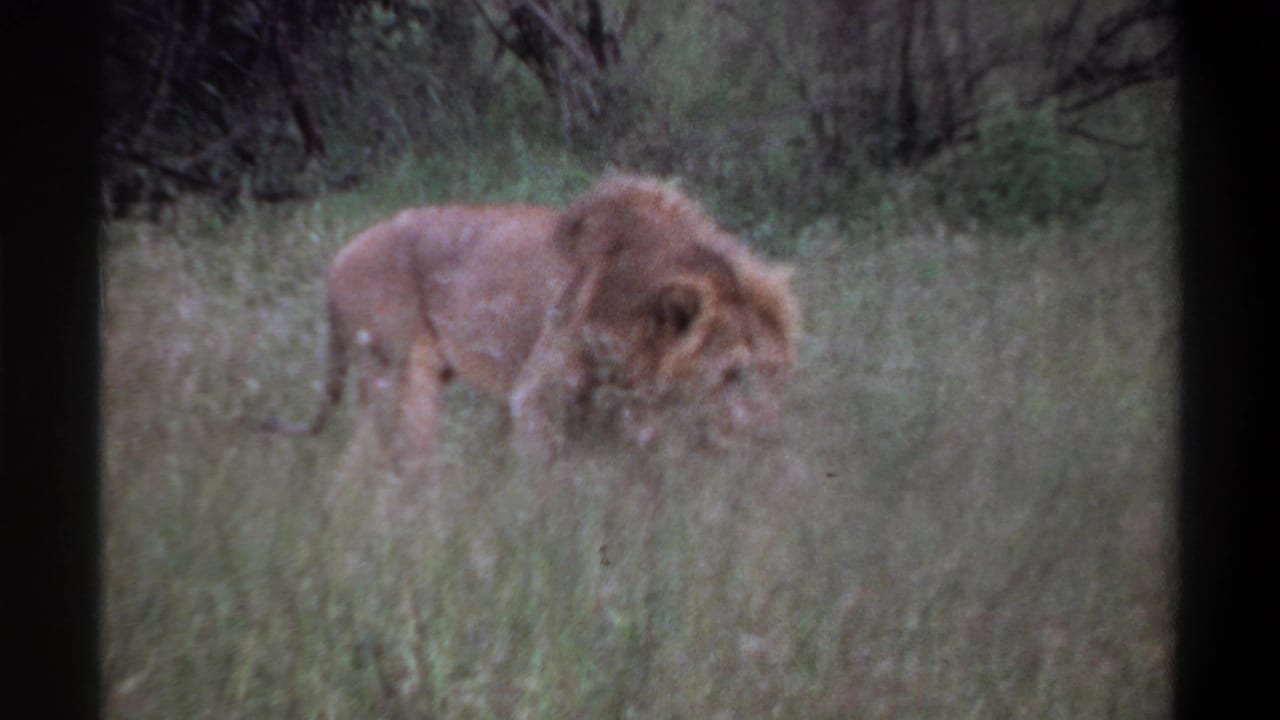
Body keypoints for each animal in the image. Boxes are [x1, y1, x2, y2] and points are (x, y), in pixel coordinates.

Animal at [261, 175, 799, 477]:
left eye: (777, 374)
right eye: (734, 374)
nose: (772, 440)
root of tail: (338, 259)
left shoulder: (620, 416)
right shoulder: (539, 395)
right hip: (397, 377)